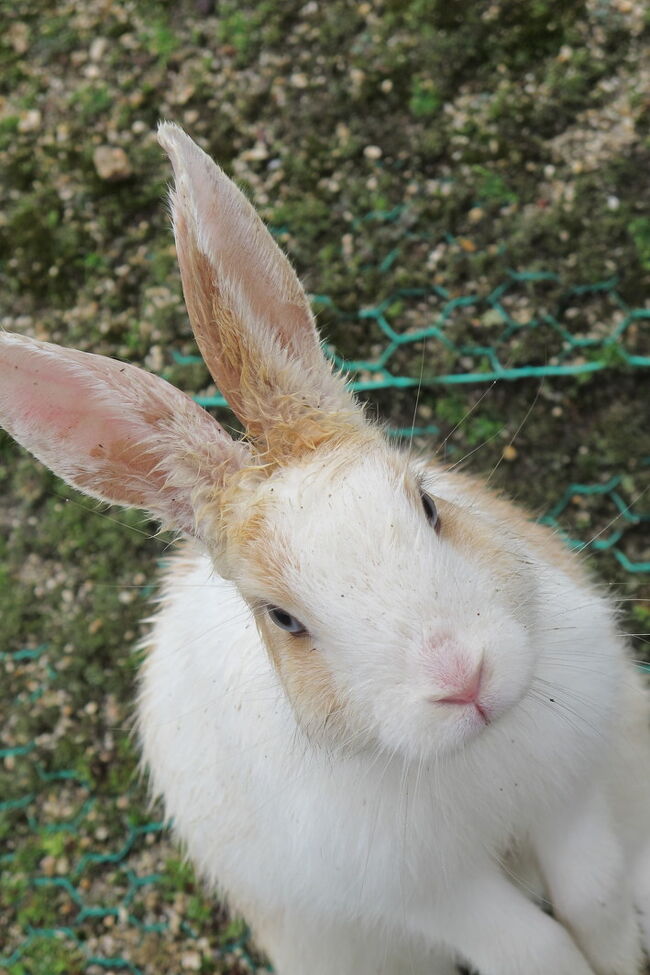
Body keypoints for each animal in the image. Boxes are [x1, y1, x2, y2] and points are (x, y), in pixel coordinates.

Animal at [1, 124, 648, 975]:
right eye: (282, 618)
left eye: (428, 503)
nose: (461, 678)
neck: (474, 750)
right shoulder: (426, 893)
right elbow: (531, 945)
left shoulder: (574, 790)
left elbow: (592, 896)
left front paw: (621, 954)